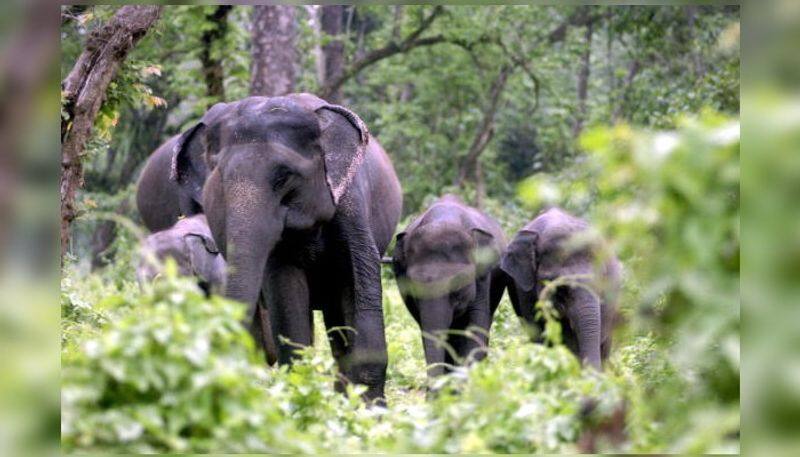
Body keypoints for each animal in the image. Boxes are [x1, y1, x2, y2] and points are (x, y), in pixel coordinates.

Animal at [173, 93, 404, 402]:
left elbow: (358, 282)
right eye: (219, 181)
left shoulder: (351, 203)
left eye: (283, 177)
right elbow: (285, 289)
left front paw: (369, 410)